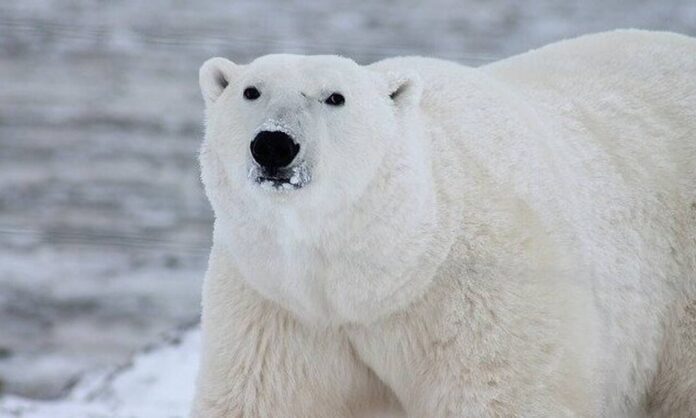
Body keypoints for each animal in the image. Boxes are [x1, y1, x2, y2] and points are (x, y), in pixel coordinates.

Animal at [190, 30, 696, 417]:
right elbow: (262, 397)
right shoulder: (277, 305)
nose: (274, 145)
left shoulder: (483, 293)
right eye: (250, 91)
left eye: (335, 97)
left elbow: (500, 396)